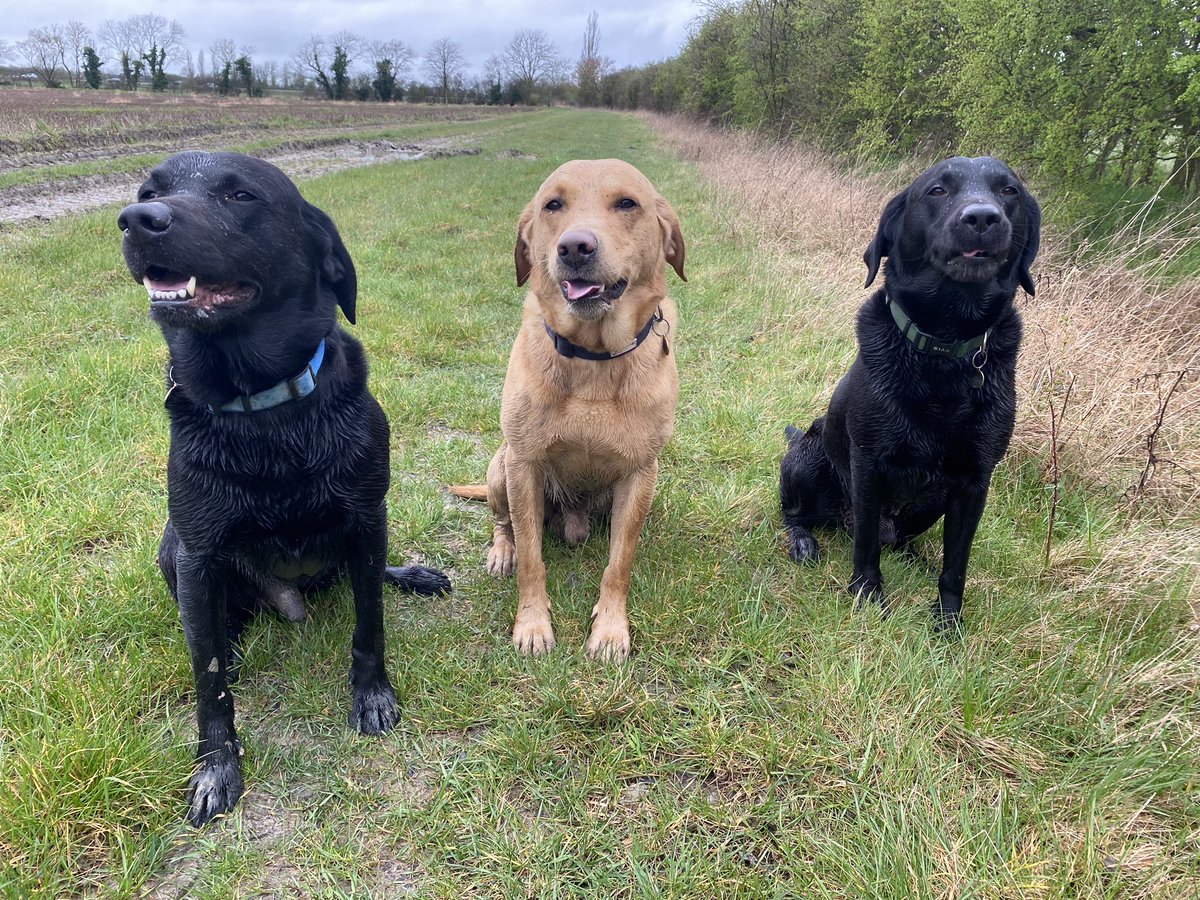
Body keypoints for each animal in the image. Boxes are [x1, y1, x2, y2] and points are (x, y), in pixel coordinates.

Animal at [118, 151, 451, 830]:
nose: (138, 219)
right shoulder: (197, 551)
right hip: (173, 550)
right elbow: (209, 681)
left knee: (370, 573)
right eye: (148, 189)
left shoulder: (367, 515)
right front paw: (217, 767)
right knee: (220, 626)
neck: (264, 411)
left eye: (241, 195)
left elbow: (370, 625)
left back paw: (411, 574)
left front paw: (372, 697)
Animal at [782, 154, 1036, 628]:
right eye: (937, 190)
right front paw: (867, 598)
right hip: (807, 464)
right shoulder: (868, 463)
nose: (982, 218)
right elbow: (865, 548)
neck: (945, 350)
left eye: (1008, 190)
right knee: (800, 516)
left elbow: (956, 565)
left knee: (901, 539)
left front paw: (949, 623)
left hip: (934, 502)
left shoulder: (975, 481)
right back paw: (804, 541)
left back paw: (916, 557)